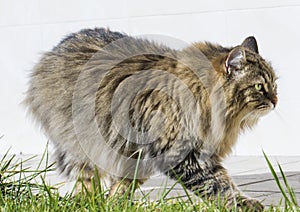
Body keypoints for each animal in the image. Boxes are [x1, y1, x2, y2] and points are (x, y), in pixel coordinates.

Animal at [24, 27, 278, 210]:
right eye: (259, 87)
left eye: (275, 85)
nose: (276, 101)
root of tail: (58, 47)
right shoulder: (183, 154)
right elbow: (218, 185)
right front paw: (244, 204)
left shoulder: (142, 155)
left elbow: (123, 185)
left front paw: (116, 205)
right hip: (80, 143)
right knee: (85, 179)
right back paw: (86, 203)